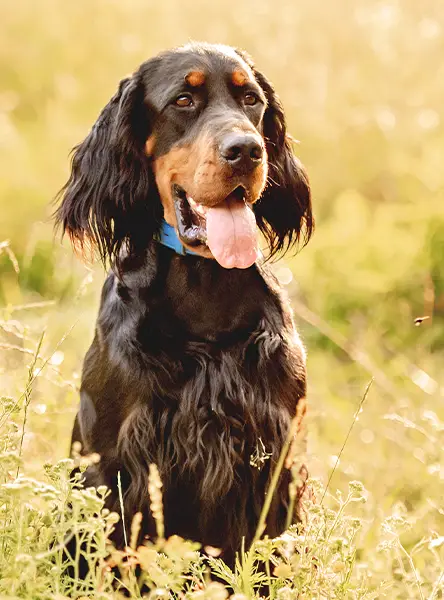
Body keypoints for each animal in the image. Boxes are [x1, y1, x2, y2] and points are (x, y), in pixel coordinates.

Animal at [55, 42, 312, 568]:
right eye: (183, 101)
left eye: (251, 99)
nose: (247, 150)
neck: (204, 286)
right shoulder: (115, 466)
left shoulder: (276, 458)